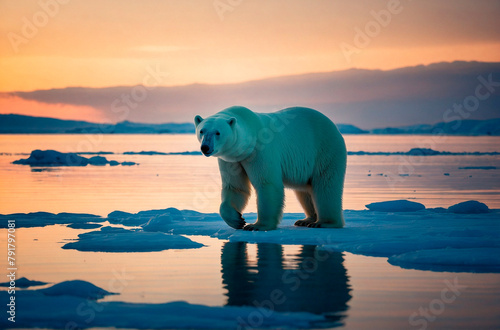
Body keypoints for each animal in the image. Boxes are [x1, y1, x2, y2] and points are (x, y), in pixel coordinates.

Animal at [193, 107, 346, 231]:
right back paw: (306, 220)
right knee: (305, 190)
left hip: (325, 150)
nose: (205, 147)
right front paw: (237, 220)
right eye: (202, 131)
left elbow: (267, 184)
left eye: (218, 133)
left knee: (325, 185)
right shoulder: (232, 160)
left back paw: (324, 222)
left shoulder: (260, 151)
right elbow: (235, 187)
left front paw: (256, 225)